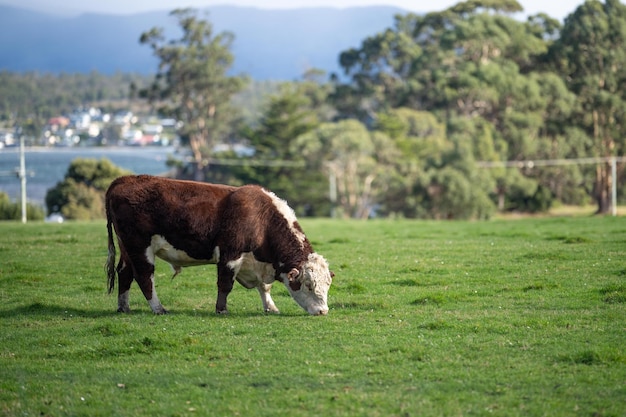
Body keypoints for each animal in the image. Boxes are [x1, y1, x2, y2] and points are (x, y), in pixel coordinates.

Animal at [105, 174, 334, 314]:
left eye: (327, 285)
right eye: (308, 285)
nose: (322, 311)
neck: (261, 219)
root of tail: (124, 179)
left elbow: (264, 287)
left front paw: (270, 307)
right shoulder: (230, 254)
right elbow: (225, 284)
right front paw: (221, 309)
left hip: (127, 248)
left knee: (124, 273)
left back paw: (123, 307)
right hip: (139, 246)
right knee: (144, 276)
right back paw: (158, 308)